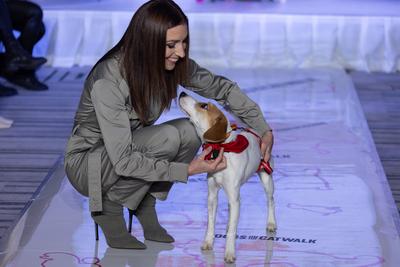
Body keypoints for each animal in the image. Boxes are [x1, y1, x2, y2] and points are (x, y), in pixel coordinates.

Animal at [180, 92, 276, 264]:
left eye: (204, 106)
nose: (182, 93)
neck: (222, 148)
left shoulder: (234, 195)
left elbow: (232, 231)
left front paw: (230, 253)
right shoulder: (212, 195)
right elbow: (211, 223)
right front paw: (208, 242)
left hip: (266, 177)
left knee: (270, 201)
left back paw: (271, 223)